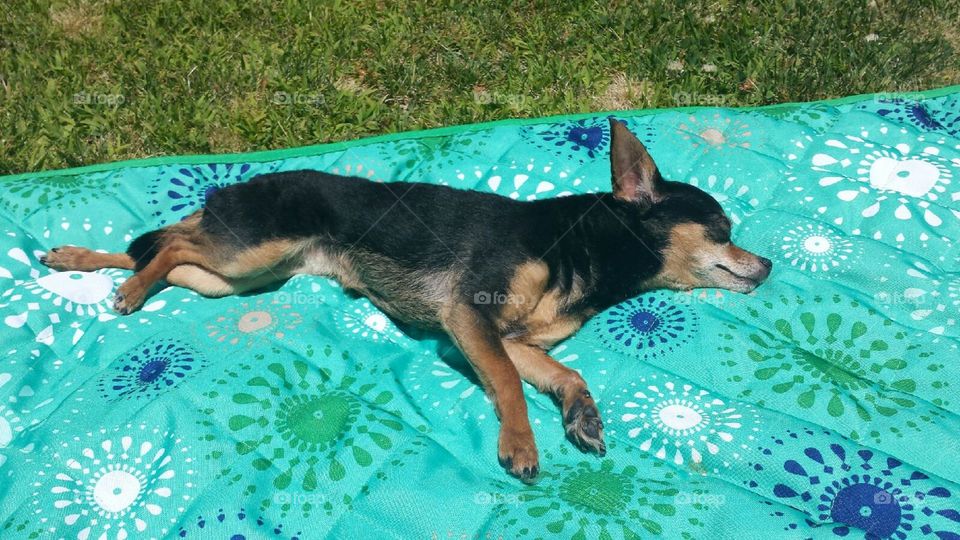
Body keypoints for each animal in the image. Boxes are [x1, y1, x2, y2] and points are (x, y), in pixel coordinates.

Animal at [41, 119, 772, 480]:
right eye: (722, 228)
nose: (766, 265)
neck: (588, 258)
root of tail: (230, 192)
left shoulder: (508, 338)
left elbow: (563, 371)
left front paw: (581, 415)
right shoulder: (469, 318)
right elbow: (509, 385)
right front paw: (521, 443)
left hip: (244, 276)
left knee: (168, 249)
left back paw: (81, 260)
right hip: (247, 252)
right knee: (169, 243)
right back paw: (126, 287)